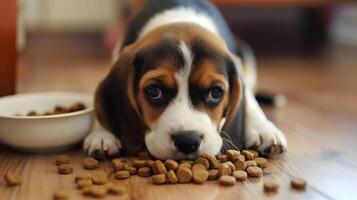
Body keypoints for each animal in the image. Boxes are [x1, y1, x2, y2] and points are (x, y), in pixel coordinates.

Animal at [82, 0, 286, 159]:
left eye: (216, 92)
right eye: (154, 91)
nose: (188, 141)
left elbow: (249, 100)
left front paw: (263, 129)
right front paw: (102, 133)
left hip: (245, 51)